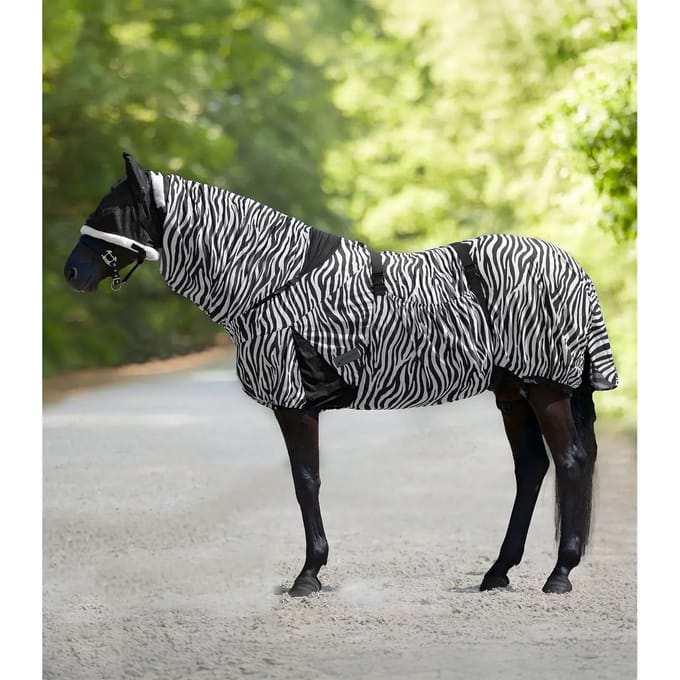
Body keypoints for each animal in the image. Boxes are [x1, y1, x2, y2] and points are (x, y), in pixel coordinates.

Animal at [64, 153, 618, 596]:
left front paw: (308, 575)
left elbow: (305, 481)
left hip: (546, 390)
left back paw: (559, 575)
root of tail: (573, 267)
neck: (271, 281)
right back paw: (497, 572)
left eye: (109, 213)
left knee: (570, 462)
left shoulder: (294, 404)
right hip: (513, 393)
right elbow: (306, 481)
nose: (71, 272)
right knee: (532, 469)